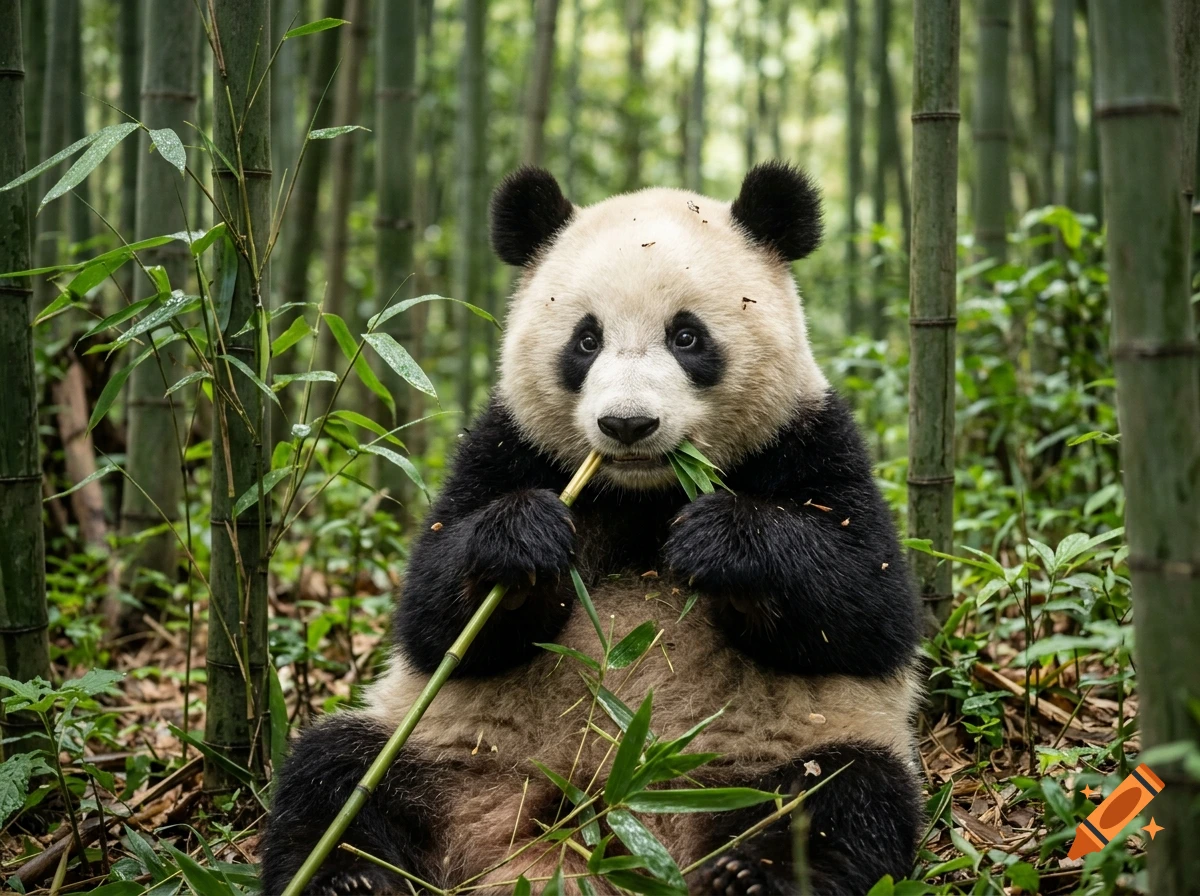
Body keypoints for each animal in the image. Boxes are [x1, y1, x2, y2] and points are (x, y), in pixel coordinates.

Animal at [262, 162, 924, 896]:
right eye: (586, 339)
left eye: (687, 337)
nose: (627, 424)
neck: (645, 493)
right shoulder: (509, 445)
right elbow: (431, 616)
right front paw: (524, 541)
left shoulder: (808, 438)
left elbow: (869, 604)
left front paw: (720, 542)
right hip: (442, 745)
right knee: (334, 774)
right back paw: (350, 876)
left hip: (778, 756)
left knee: (844, 798)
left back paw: (754, 874)